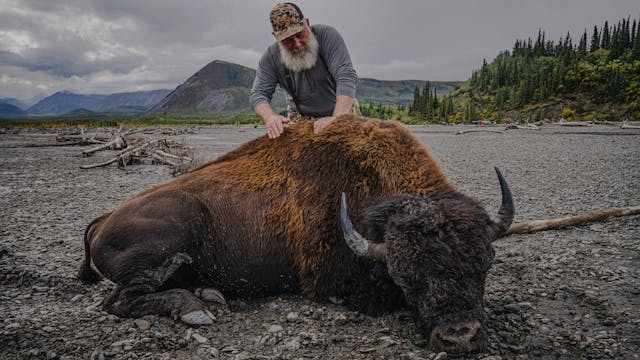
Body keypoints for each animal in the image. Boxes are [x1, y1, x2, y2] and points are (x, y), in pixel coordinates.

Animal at [79, 115, 516, 354]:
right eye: (406, 277)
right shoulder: (334, 281)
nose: (459, 337)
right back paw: (195, 309)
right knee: (119, 301)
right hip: (166, 239)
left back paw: (209, 293)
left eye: (484, 264)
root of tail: (103, 219)